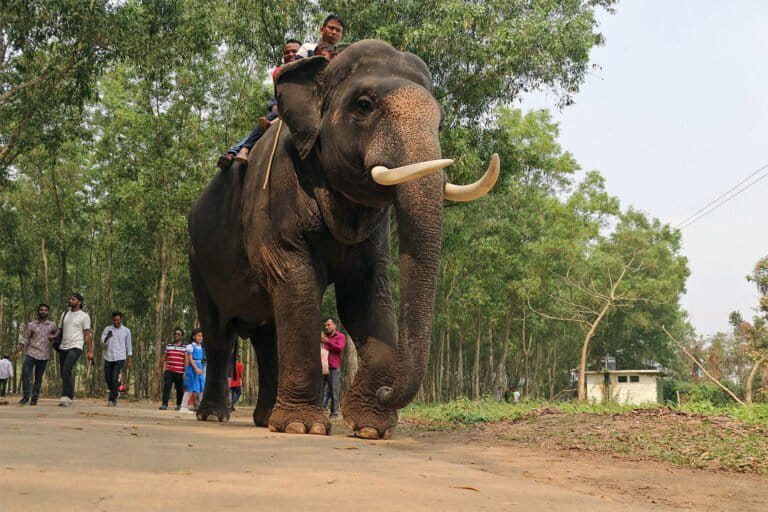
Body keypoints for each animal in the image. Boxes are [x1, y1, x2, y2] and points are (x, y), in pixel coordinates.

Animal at [187, 39, 498, 439]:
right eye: (364, 105)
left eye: (440, 121)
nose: (386, 392)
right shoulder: (274, 196)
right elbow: (297, 281)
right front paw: (304, 426)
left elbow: (365, 293)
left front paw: (371, 428)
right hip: (197, 259)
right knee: (219, 337)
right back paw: (215, 415)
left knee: (267, 336)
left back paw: (265, 417)